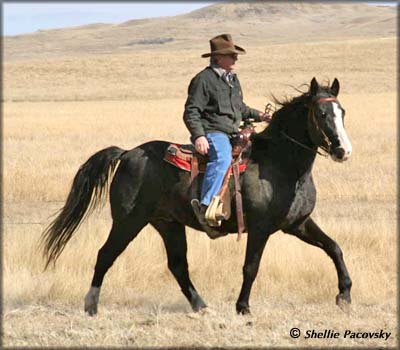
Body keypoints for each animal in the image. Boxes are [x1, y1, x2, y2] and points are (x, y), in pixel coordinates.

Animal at [41, 76, 354, 314]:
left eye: (342, 112)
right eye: (322, 114)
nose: (343, 150)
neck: (282, 164)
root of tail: (128, 153)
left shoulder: (297, 224)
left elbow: (334, 247)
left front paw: (345, 295)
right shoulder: (260, 229)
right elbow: (251, 267)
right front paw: (243, 307)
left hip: (168, 224)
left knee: (177, 265)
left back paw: (201, 305)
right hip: (128, 221)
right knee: (106, 255)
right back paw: (91, 305)